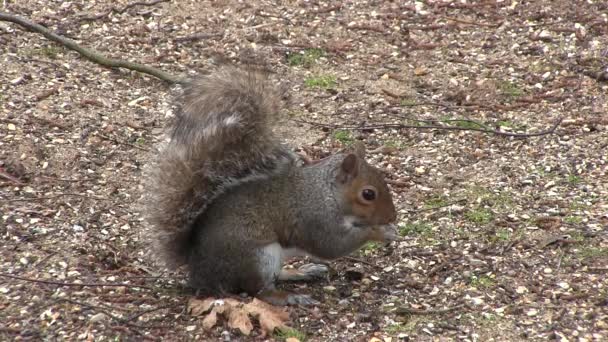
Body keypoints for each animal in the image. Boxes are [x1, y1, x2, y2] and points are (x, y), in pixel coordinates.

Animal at [142, 65, 400, 306]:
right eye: (368, 194)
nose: (391, 216)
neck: (327, 193)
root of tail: (198, 270)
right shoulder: (315, 219)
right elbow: (331, 246)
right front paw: (380, 232)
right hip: (257, 257)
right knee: (259, 291)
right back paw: (290, 296)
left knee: (276, 277)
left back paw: (302, 271)